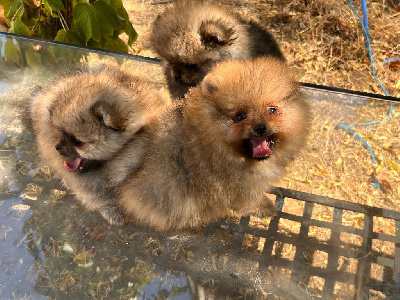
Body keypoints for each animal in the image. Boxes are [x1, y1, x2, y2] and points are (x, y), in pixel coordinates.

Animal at [117, 58, 310, 232]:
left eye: (272, 110)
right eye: (240, 116)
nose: (260, 127)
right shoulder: (240, 186)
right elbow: (248, 201)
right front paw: (263, 207)